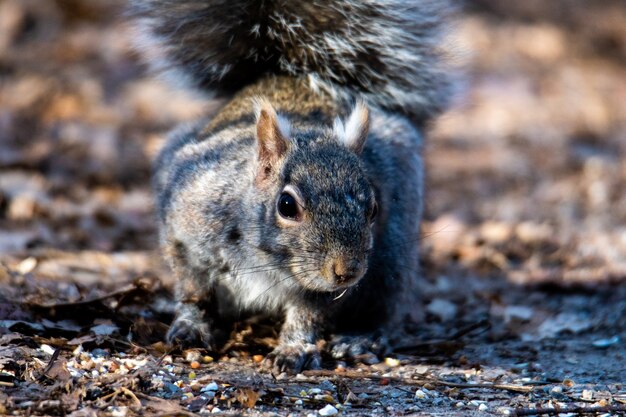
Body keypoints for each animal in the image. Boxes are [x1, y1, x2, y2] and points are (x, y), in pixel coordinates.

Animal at [130, 0, 454, 370]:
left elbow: (309, 312)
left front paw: (295, 348)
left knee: (384, 309)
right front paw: (192, 326)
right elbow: (194, 289)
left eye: (374, 208)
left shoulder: (321, 286)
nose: (348, 272)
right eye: (286, 206)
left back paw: (361, 338)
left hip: (392, 260)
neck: (265, 258)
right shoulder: (184, 227)